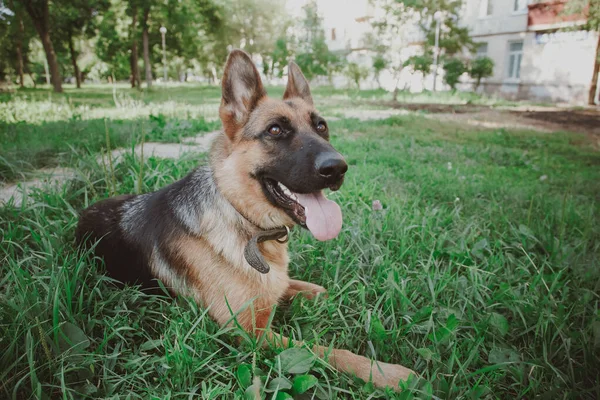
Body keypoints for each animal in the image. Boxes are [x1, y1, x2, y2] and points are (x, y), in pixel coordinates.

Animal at [76, 49, 418, 390]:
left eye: (321, 126)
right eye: (275, 130)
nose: (337, 168)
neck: (245, 220)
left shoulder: (273, 291)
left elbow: (305, 287)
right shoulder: (252, 335)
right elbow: (324, 351)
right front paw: (384, 372)